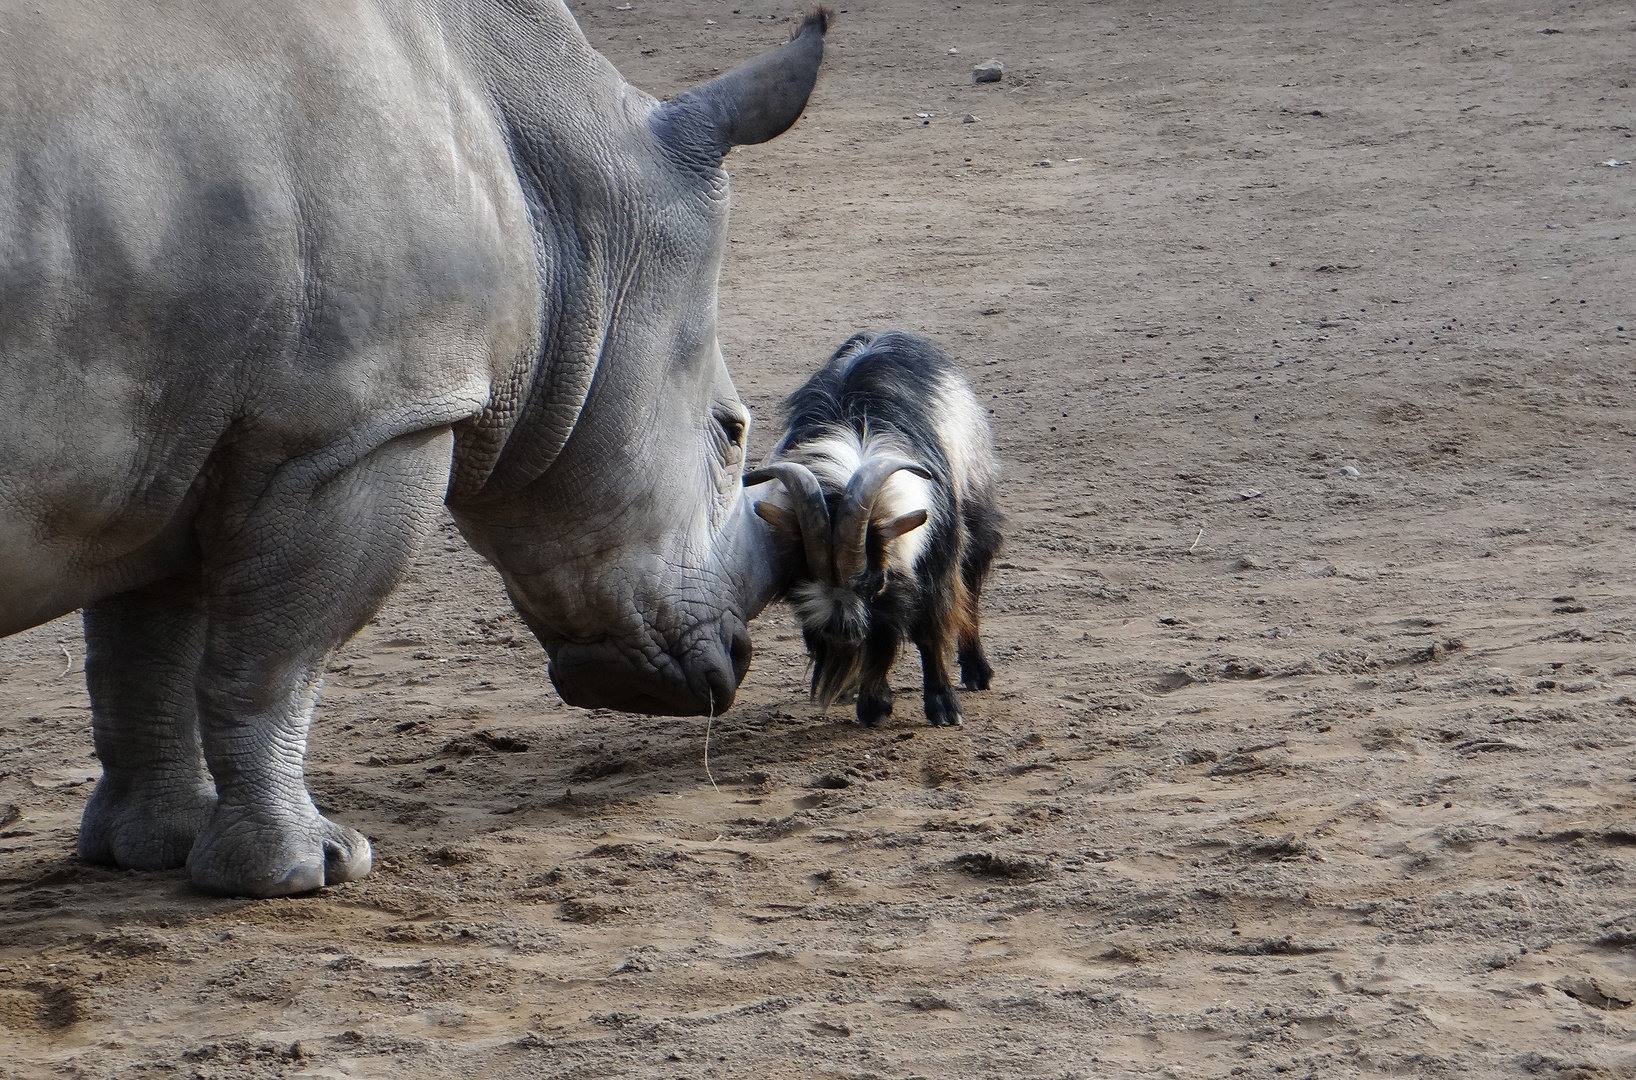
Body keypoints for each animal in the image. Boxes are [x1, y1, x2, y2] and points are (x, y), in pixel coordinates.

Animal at [749, 330, 1001, 726]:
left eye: (875, 583)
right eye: (802, 583)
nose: (843, 638)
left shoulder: (935, 557)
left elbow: (928, 628)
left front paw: (943, 707)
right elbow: (879, 636)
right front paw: (873, 702)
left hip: (976, 505)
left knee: (972, 583)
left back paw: (978, 671)